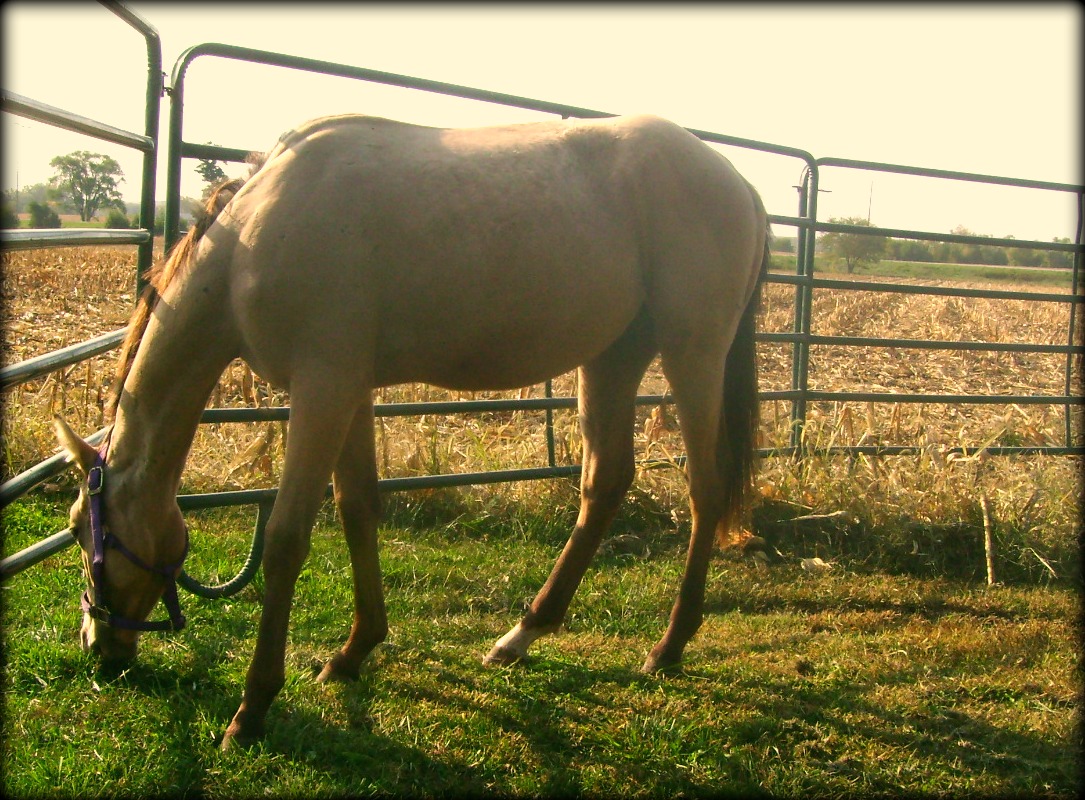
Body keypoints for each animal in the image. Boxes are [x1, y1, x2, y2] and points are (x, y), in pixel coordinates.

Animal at [55, 109, 768, 746]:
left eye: (83, 529)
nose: (99, 647)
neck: (252, 239)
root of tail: (735, 180)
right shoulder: (349, 390)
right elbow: (357, 508)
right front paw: (353, 652)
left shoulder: (321, 388)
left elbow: (287, 540)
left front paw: (252, 709)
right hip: (613, 358)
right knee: (606, 484)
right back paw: (522, 636)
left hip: (692, 353)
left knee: (704, 491)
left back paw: (668, 646)